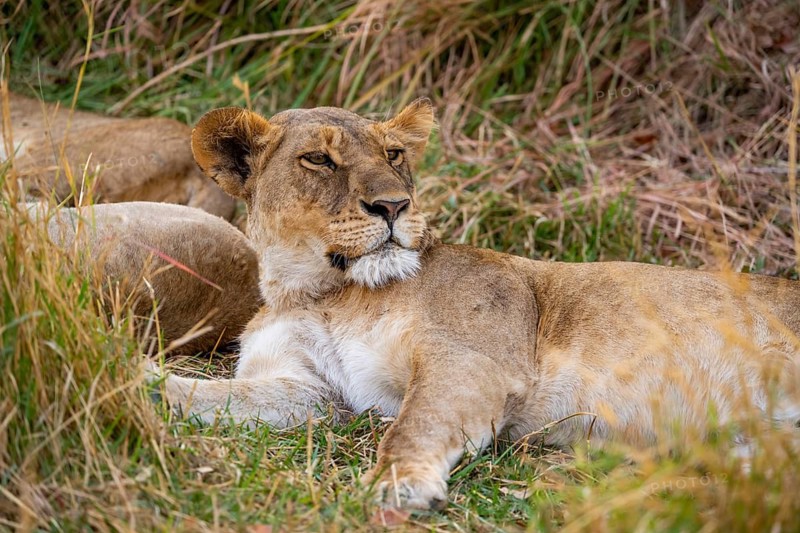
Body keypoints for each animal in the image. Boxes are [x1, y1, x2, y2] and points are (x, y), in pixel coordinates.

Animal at [154, 98, 800, 510]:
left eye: (394, 154)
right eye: (319, 159)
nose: (394, 206)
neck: (318, 291)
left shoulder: (470, 358)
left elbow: (413, 425)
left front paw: (399, 487)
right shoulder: (311, 390)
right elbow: (211, 396)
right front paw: (135, 381)